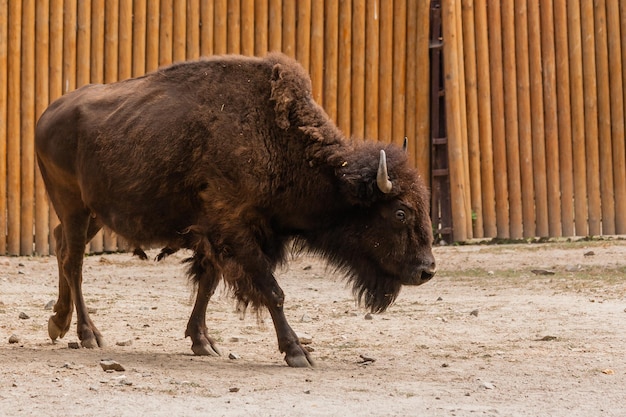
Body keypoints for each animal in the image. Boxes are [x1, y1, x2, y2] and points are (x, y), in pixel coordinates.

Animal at [34, 52, 434, 368]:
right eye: (400, 213)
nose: (427, 270)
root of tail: (47, 114)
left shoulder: (214, 234)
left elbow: (208, 284)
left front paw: (202, 342)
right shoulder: (234, 231)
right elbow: (272, 291)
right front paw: (297, 352)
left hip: (93, 215)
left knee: (61, 246)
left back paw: (58, 323)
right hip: (73, 207)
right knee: (74, 262)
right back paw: (88, 334)